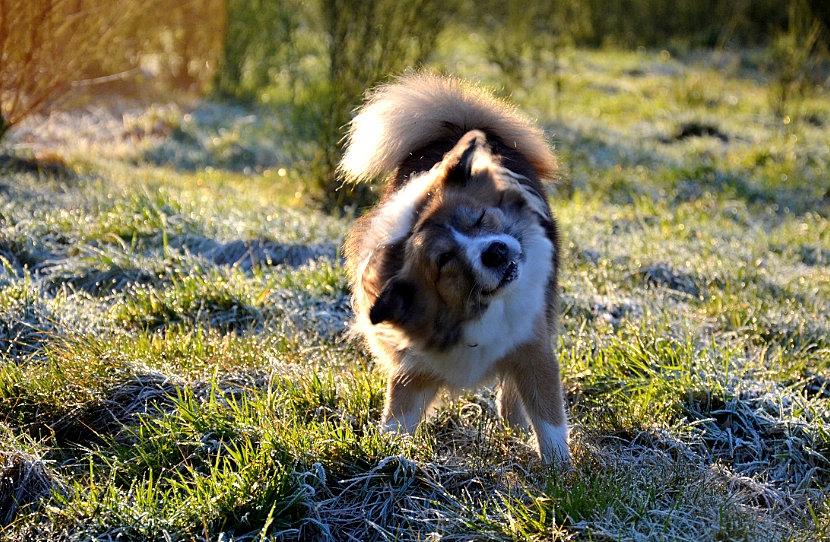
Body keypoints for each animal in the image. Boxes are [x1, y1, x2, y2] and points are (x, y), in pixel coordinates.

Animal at [340, 73, 572, 468]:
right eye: (444, 260)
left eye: (478, 218)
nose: (495, 252)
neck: (475, 310)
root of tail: (460, 125)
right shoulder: (413, 366)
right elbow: (398, 418)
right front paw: (387, 458)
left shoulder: (532, 347)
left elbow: (548, 419)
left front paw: (561, 470)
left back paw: (515, 425)